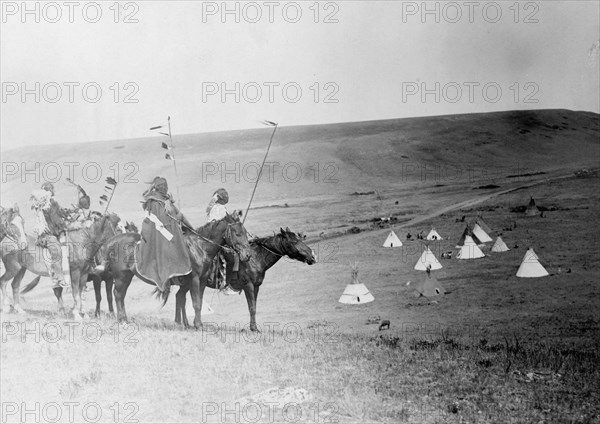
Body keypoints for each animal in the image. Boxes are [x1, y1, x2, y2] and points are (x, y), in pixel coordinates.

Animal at [105, 212, 251, 328]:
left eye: (245, 233)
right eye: (237, 233)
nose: (247, 255)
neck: (200, 247)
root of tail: (112, 241)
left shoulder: (202, 280)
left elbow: (197, 300)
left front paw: (196, 323)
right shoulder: (194, 280)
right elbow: (196, 303)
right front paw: (198, 325)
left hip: (127, 277)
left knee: (121, 296)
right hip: (121, 277)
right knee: (118, 295)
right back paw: (122, 320)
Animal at [175, 229, 316, 332]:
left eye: (300, 238)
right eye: (294, 241)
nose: (313, 256)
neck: (255, 257)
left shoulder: (256, 287)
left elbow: (254, 306)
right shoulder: (248, 286)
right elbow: (252, 307)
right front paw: (254, 328)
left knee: (180, 297)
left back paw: (185, 324)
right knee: (181, 297)